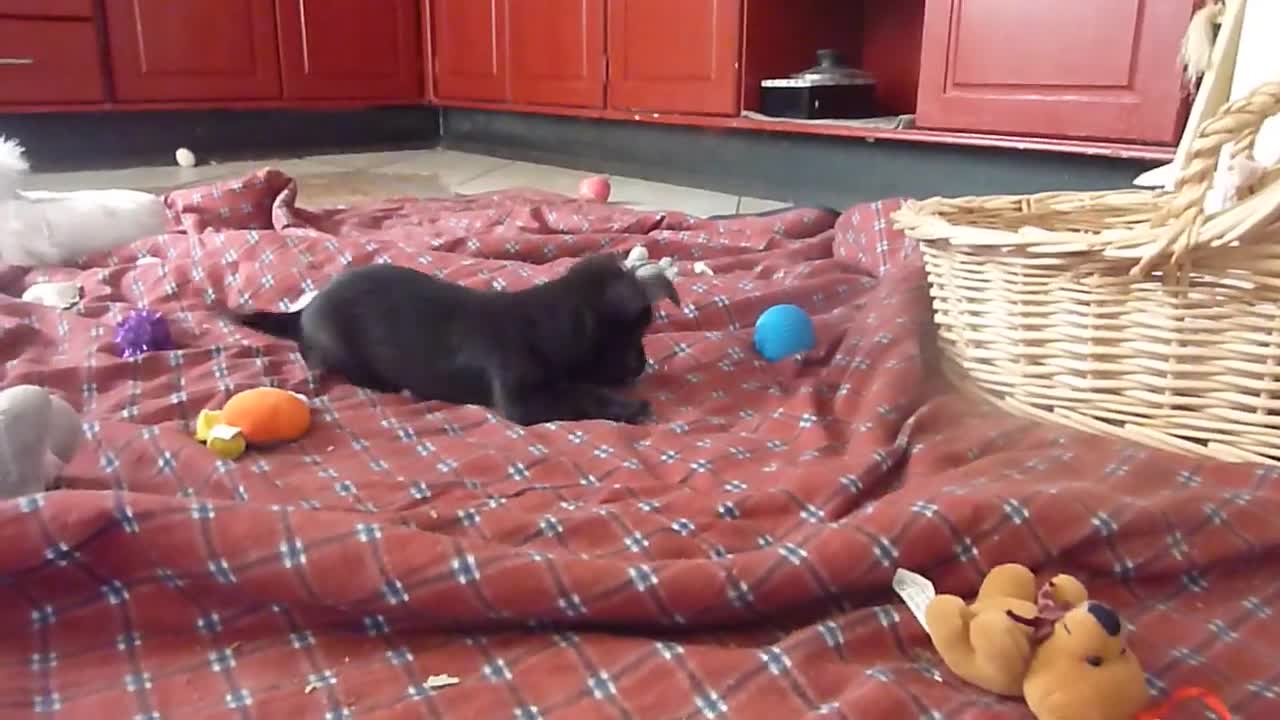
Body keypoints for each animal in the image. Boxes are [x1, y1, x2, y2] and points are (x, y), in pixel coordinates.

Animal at [240, 252, 680, 422]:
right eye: (634, 332)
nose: (643, 366)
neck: (545, 322)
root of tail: (305, 311)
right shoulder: (522, 402)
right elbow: (580, 395)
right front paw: (628, 407)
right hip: (338, 347)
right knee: (322, 359)